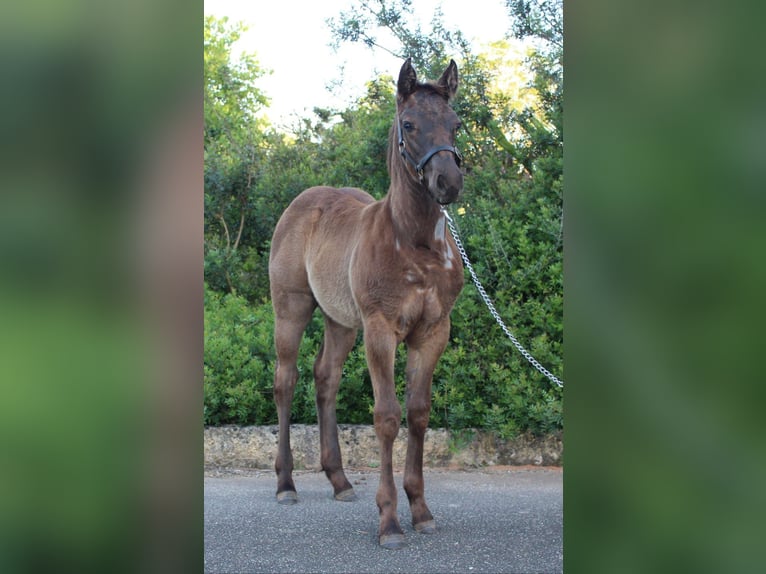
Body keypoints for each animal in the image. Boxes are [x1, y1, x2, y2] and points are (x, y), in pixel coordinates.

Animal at [268, 58, 465, 549]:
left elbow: (418, 414)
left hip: (341, 321)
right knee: (285, 380)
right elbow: (387, 417)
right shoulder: (381, 328)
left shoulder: (433, 332)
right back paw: (286, 484)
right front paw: (390, 521)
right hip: (291, 309)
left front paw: (421, 510)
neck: (416, 245)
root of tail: (303, 201)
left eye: (455, 124)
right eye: (409, 124)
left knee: (325, 378)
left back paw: (339, 481)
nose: (448, 182)